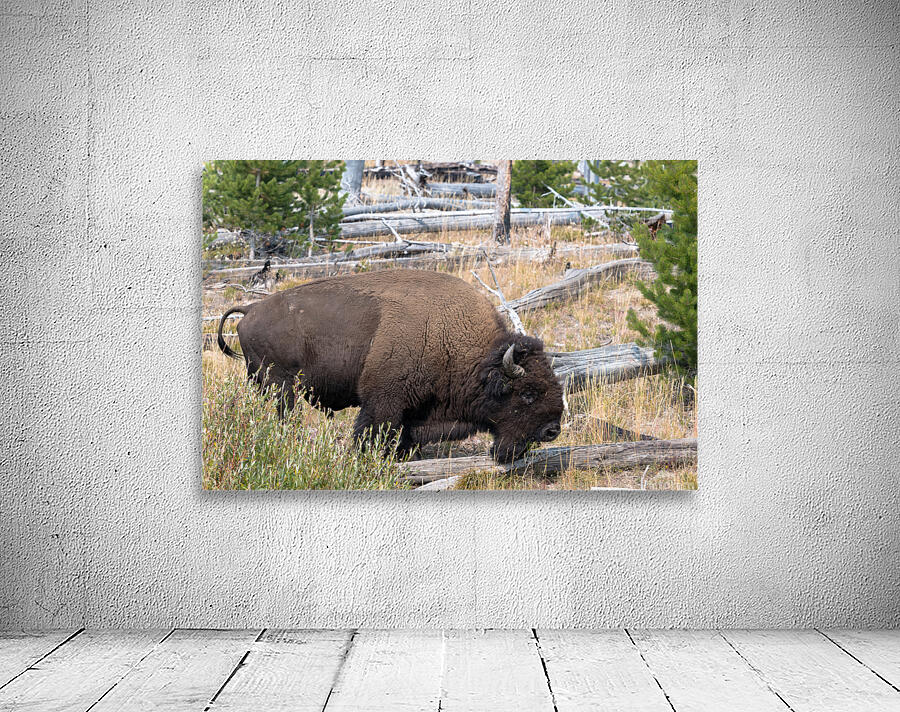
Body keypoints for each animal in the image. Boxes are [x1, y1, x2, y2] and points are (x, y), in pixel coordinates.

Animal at [217, 269, 563, 462]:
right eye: (527, 393)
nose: (552, 431)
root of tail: (250, 309)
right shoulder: (384, 401)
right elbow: (373, 432)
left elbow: (405, 436)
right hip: (280, 386)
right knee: (286, 416)